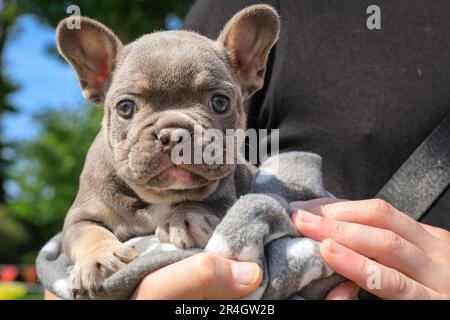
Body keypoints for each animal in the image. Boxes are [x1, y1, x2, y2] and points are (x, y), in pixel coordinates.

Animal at [55, 4, 280, 298]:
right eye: (125, 108)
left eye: (220, 103)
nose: (173, 133)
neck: (159, 196)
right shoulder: (80, 216)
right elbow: (87, 232)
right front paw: (99, 260)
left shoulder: (226, 196)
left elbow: (201, 202)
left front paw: (182, 219)